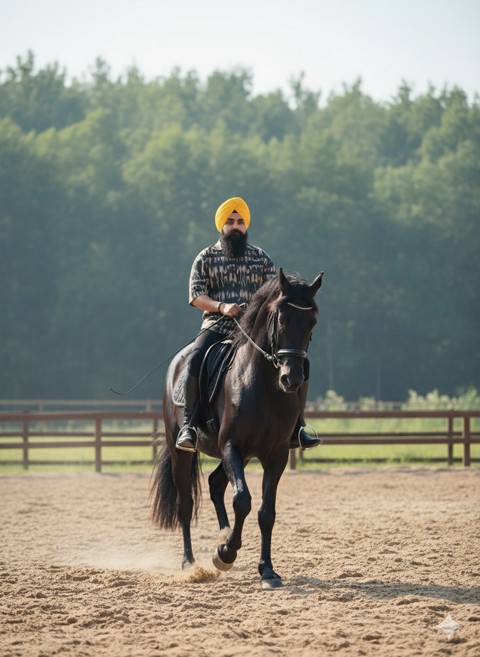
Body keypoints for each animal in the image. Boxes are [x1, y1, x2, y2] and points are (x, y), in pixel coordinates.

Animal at [150, 268, 324, 588]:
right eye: (281, 318)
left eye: (312, 322)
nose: (292, 379)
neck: (263, 385)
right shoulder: (232, 445)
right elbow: (242, 500)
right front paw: (225, 553)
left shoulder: (275, 455)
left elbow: (266, 512)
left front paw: (267, 570)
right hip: (182, 451)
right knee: (185, 503)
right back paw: (190, 563)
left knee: (215, 484)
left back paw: (224, 534)